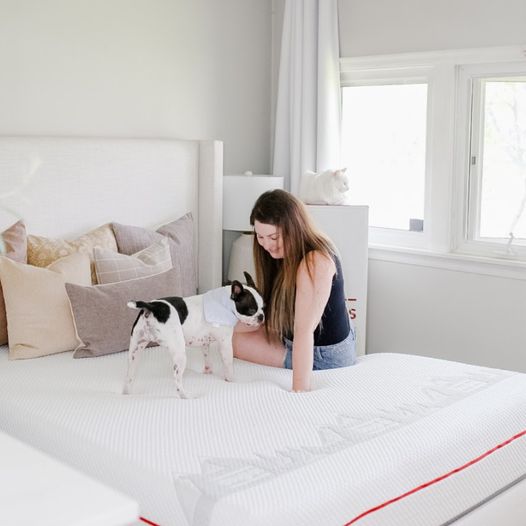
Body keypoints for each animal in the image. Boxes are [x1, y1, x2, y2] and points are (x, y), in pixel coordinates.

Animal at [122, 274, 264, 398]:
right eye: (251, 310)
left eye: (263, 307)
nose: (261, 317)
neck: (226, 303)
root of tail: (151, 307)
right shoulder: (225, 344)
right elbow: (228, 364)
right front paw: (231, 380)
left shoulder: (205, 342)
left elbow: (207, 356)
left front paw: (208, 371)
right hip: (179, 353)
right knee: (177, 380)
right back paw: (186, 396)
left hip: (135, 350)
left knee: (129, 376)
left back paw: (126, 394)